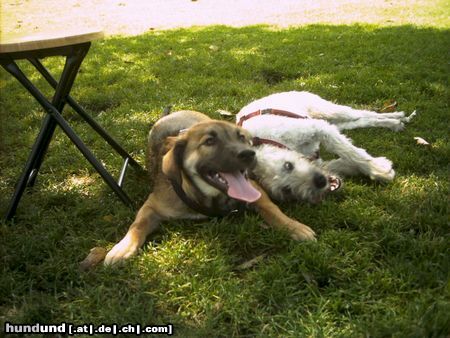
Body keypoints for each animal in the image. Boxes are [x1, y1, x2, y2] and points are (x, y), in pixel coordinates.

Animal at [104, 111, 316, 264]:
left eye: (241, 138)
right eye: (209, 141)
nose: (250, 154)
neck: (211, 197)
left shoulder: (255, 189)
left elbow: (272, 210)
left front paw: (294, 226)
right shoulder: (153, 205)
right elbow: (137, 225)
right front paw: (122, 248)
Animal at [237, 90, 416, 202]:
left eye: (288, 165)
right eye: (286, 190)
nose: (320, 182)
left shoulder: (317, 128)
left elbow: (349, 151)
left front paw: (379, 169)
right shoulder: (319, 155)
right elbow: (342, 162)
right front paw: (377, 167)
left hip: (329, 111)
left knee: (364, 113)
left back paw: (395, 117)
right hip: (336, 122)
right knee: (362, 121)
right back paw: (393, 122)